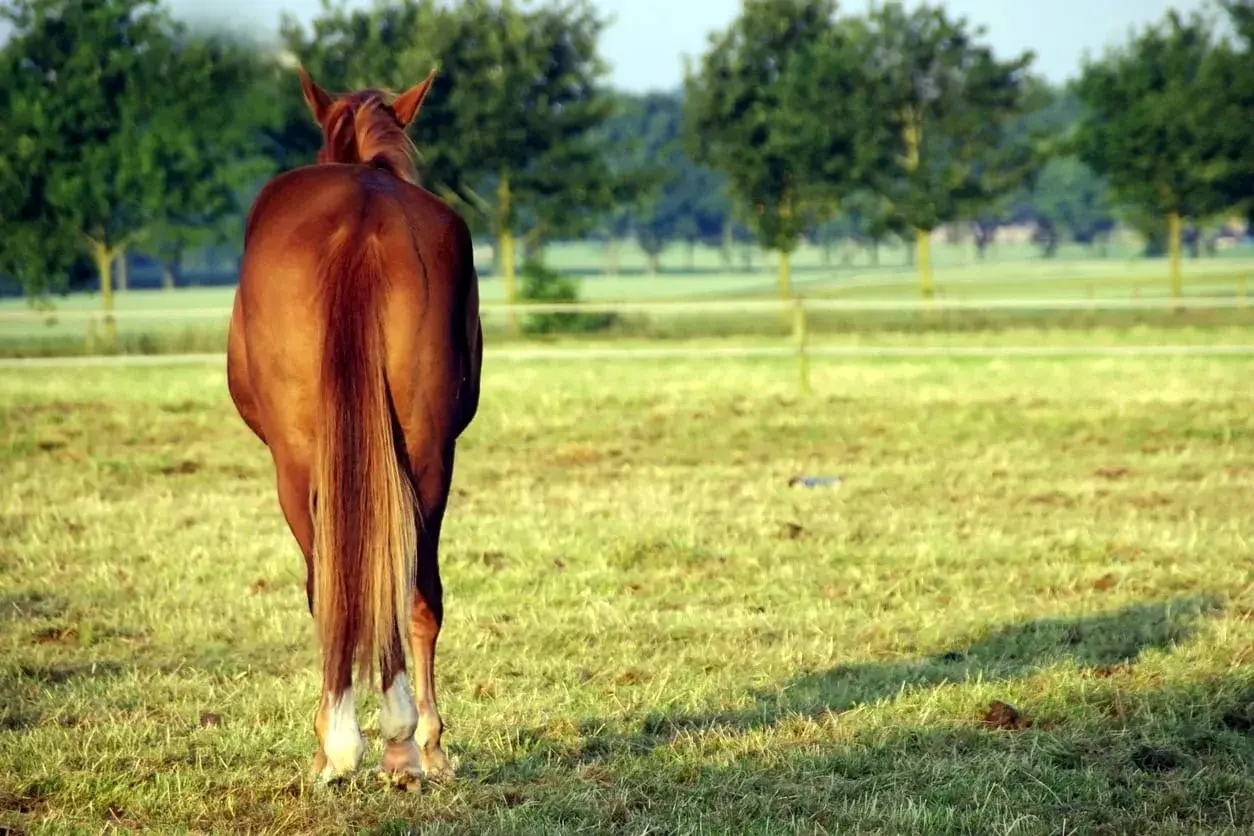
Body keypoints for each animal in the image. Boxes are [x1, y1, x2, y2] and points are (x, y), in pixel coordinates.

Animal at [226, 66, 482, 787]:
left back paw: (358, 743)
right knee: (416, 590)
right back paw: (405, 744)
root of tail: (362, 220)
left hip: (296, 466)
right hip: (428, 455)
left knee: (333, 590)